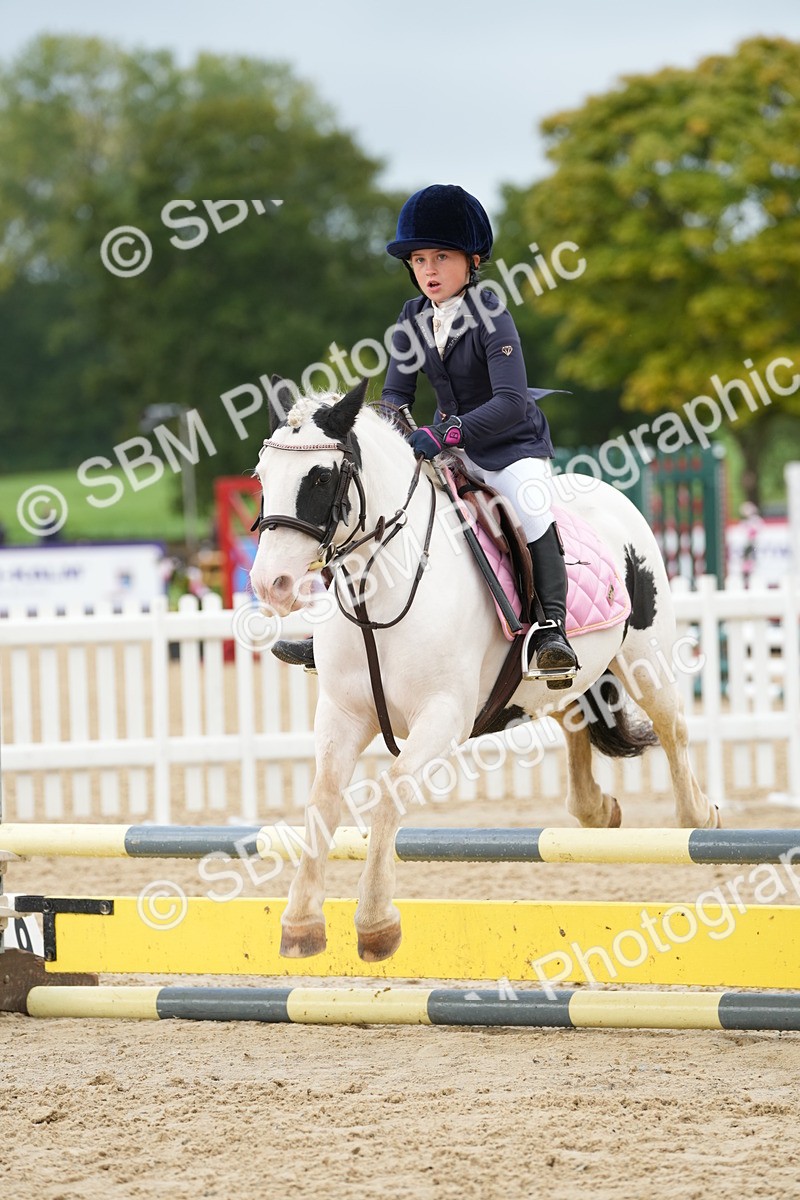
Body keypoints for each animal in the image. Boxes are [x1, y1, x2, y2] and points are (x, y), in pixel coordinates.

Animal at [249, 379, 718, 963]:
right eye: (262, 475)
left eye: (319, 477)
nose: (271, 585)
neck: (382, 583)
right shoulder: (342, 713)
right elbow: (322, 800)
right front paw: (301, 923)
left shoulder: (443, 717)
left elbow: (389, 794)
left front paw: (376, 924)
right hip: (562, 681)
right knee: (574, 717)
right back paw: (598, 809)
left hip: (645, 657)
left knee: (672, 726)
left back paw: (699, 818)